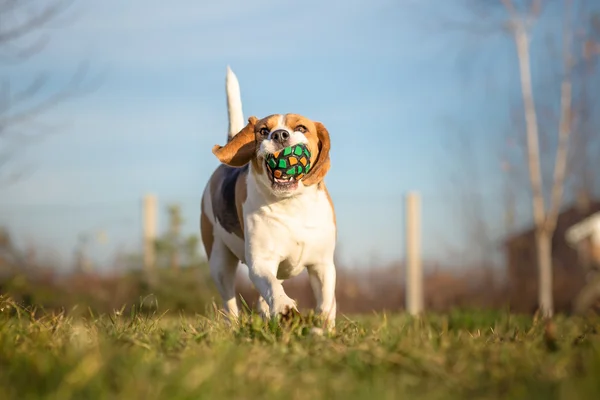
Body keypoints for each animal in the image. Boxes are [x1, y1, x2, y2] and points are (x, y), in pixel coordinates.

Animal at [199, 66, 336, 328]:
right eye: (263, 131)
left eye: (301, 128)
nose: (280, 135)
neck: (293, 204)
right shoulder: (261, 262)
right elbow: (272, 288)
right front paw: (285, 308)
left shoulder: (322, 265)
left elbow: (326, 301)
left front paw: (323, 328)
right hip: (219, 261)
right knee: (230, 302)